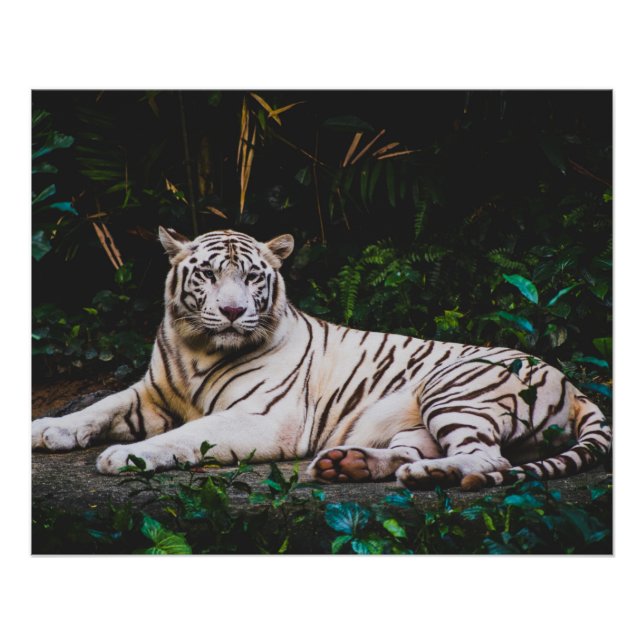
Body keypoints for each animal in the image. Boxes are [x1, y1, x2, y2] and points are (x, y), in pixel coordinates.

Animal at [32, 227, 612, 491]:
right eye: (209, 275)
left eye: (252, 276)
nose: (233, 311)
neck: (198, 348)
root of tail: (575, 385)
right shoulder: (150, 392)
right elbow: (98, 406)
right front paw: (45, 429)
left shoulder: (263, 418)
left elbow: (182, 435)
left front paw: (125, 456)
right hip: (417, 422)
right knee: (419, 450)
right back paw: (348, 464)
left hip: (454, 389)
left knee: (489, 459)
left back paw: (429, 476)